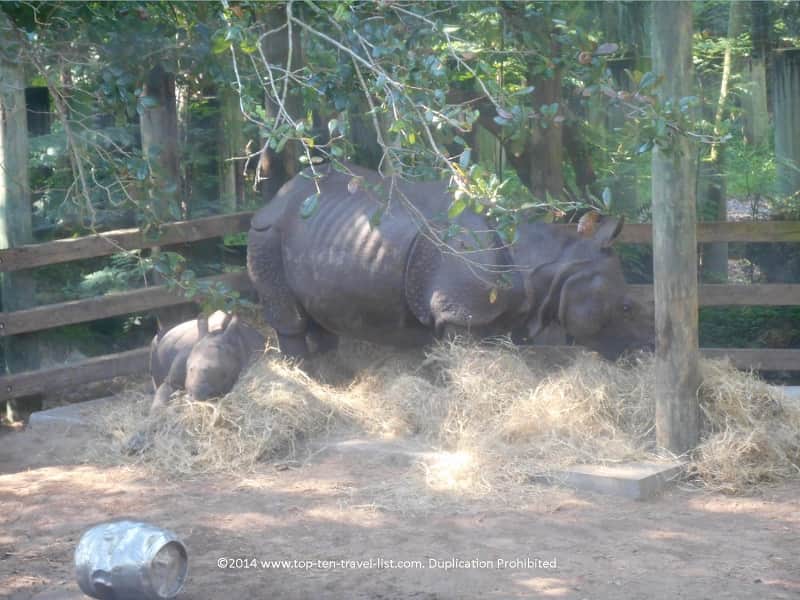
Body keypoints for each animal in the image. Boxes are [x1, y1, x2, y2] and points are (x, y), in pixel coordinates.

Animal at [247, 162, 653, 360]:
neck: (548, 258)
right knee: (289, 314)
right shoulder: (460, 312)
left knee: (319, 311)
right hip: (267, 234)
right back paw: (305, 373)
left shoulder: (496, 313)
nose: (645, 353)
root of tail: (276, 198)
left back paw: (333, 378)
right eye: (627, 307)